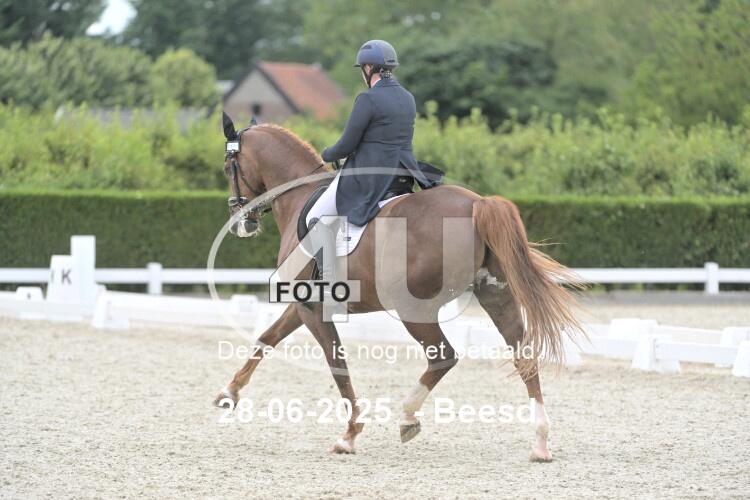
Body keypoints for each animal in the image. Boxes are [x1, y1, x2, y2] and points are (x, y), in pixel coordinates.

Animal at [213, 115, 583, 461]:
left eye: (229, 166)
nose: (242, 222)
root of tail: (478, 204)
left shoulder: (312, 309)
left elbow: (337, 365)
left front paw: (350, 434)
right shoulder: (305, 304)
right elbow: (267, 338)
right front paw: (228, 393)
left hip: (413, 309)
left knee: (443, 357)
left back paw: (407, 417)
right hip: (497, 296)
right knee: (524, 356)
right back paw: (540, 442)